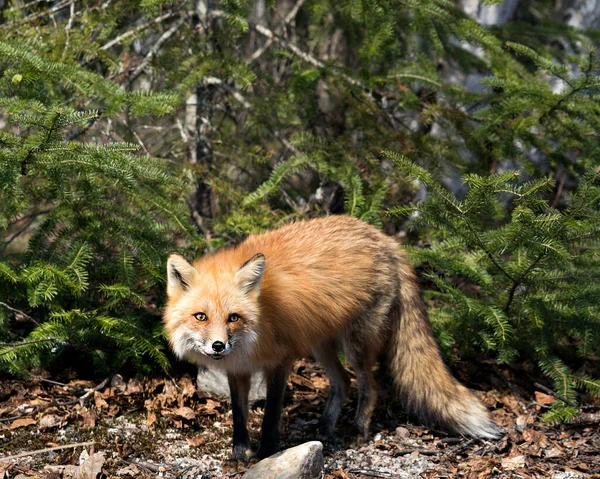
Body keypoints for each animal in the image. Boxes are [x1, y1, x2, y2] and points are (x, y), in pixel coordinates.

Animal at [162, 217, 500, 462]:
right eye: (201, 317)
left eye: (233, 318)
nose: (219, 346)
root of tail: (386, 240)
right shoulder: (238, 368)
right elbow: (239, 415)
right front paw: (239, 453)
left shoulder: (280, 362)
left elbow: (271, 414)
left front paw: (267, 452)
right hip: (320, 345)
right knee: (343, 383)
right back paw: (325, 428)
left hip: (356, 346)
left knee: (369, 386)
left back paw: (358, 430)